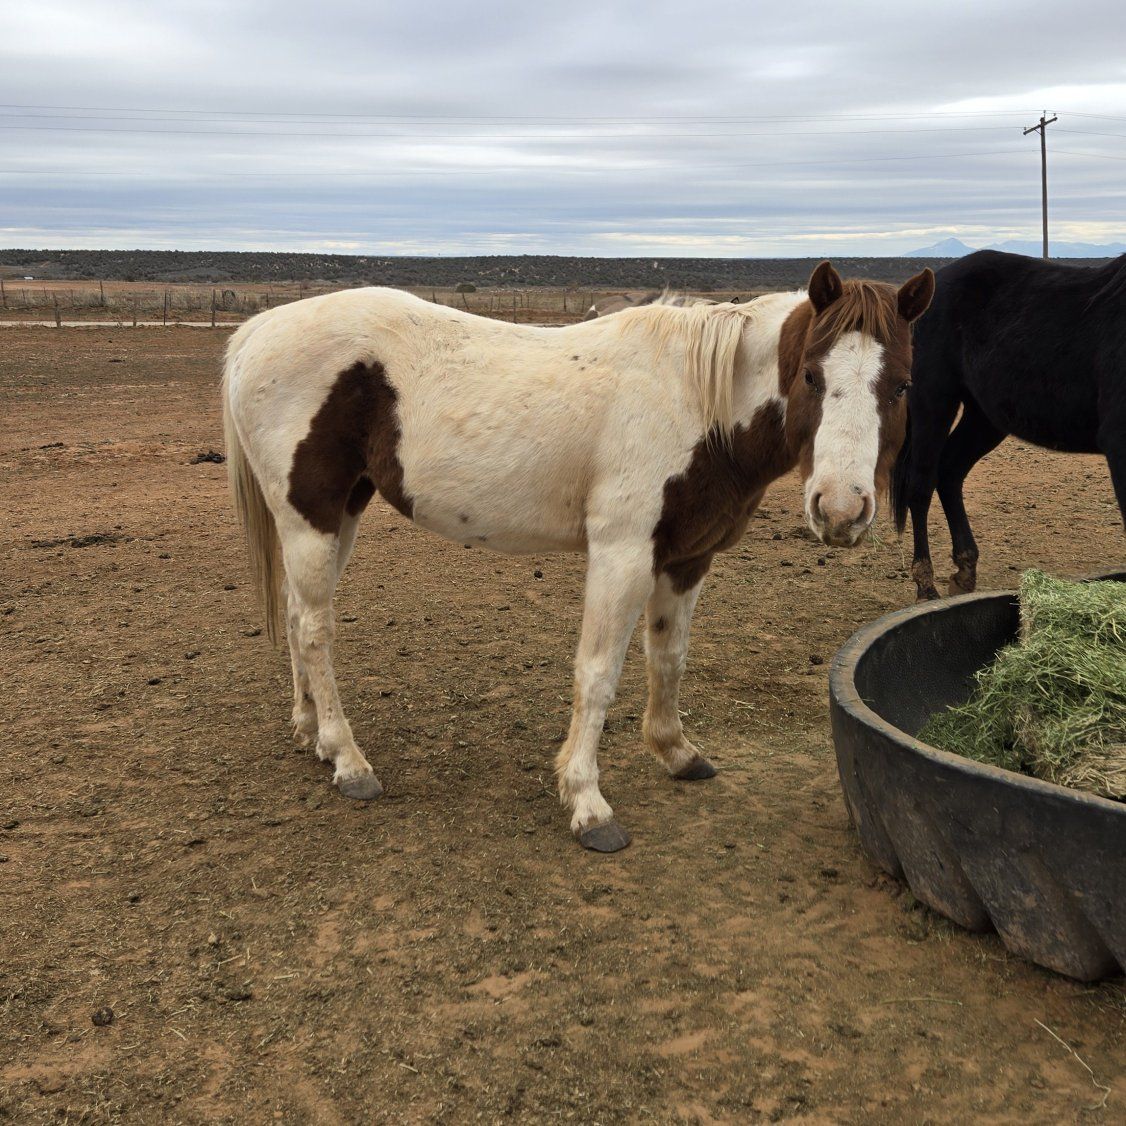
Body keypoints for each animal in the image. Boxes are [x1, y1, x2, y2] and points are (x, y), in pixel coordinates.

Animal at [223, 261, 933, 851]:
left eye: (902, 386)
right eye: (812, 375)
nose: (839, 510)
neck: (697, 400)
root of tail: (258, 330)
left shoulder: (686, 557)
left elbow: (668, 656)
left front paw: (676, 752)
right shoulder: (622, 555)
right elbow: (597, 673)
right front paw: (588, 804)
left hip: (340, 515)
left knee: (297, 619)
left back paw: (312, 733)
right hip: (311, 518)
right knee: (316, 630)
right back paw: (348, 760)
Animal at [892, 250, 1126, 601]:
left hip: (984, 418)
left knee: (950, 471)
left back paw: (964, 571)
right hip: (934, 402)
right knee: (919, 483)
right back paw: (926, 585)